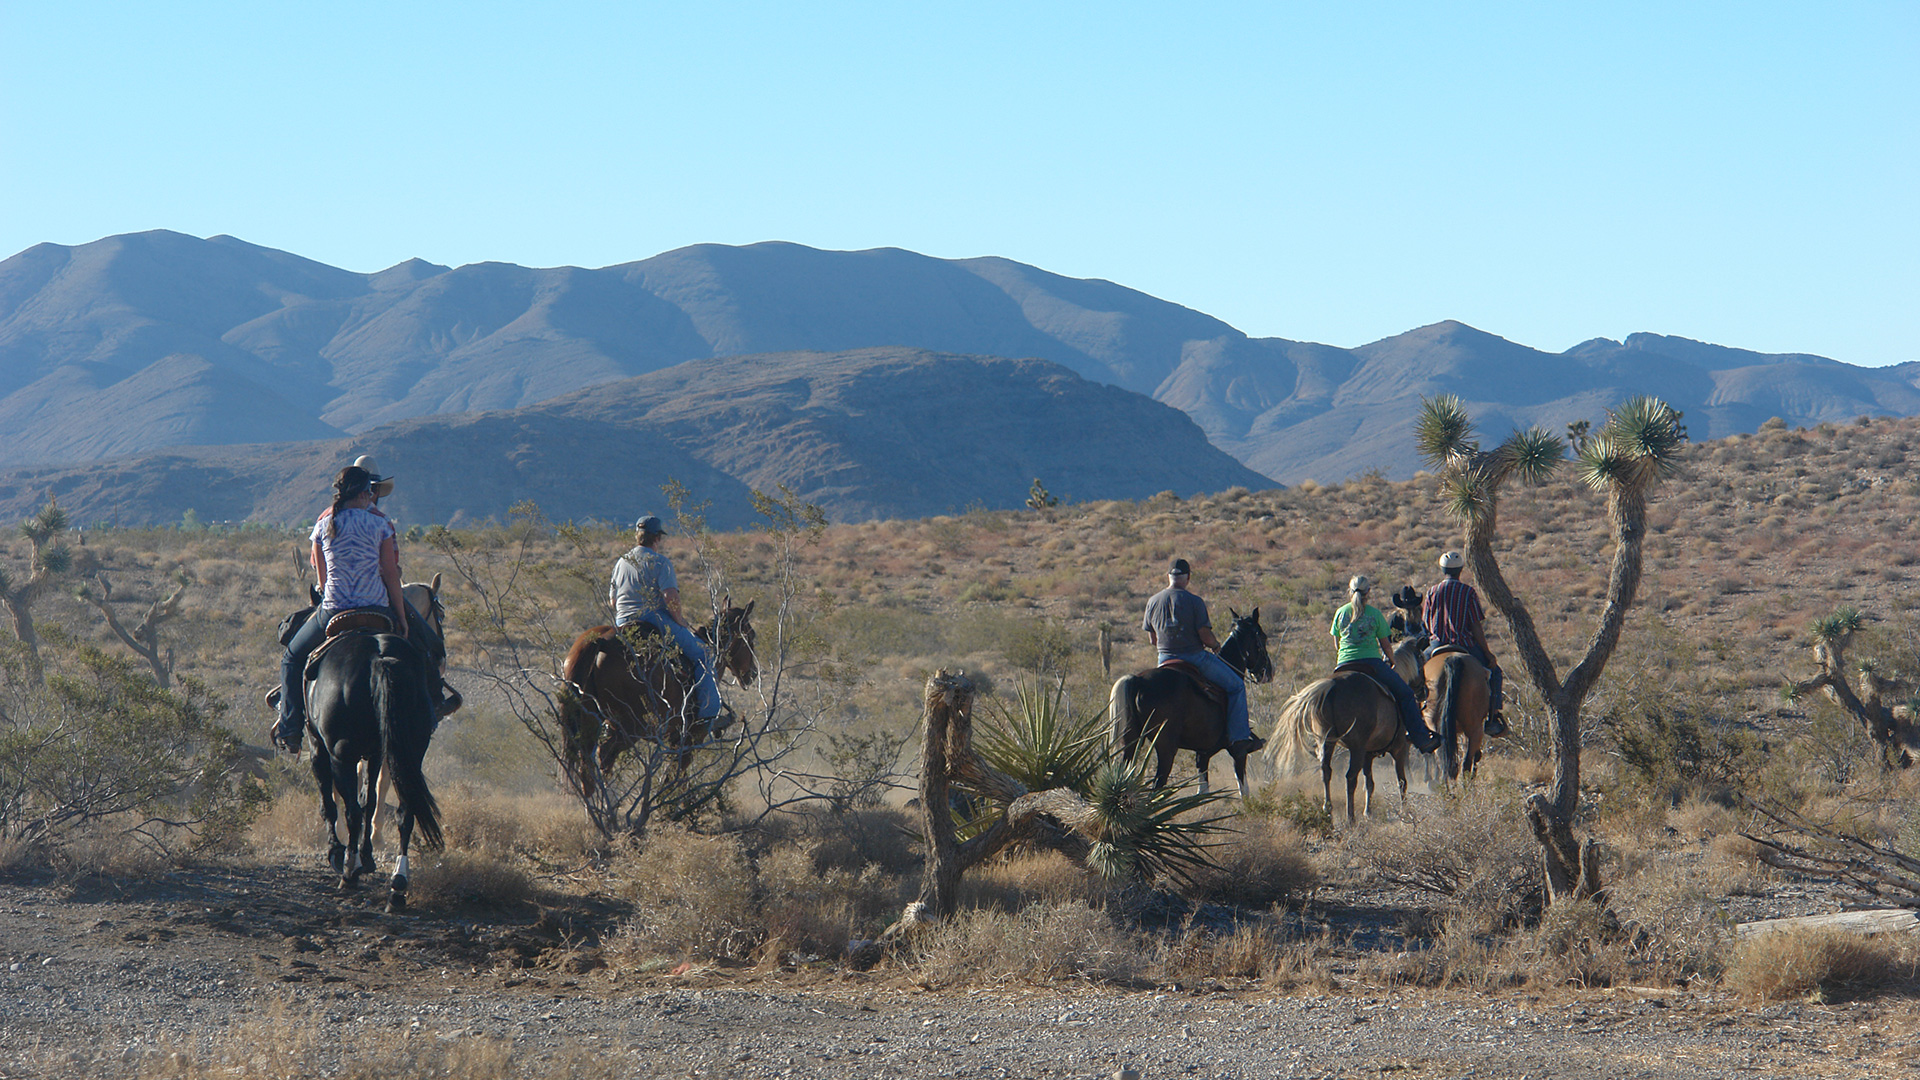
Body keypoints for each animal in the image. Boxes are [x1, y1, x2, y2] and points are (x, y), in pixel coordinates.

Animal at [556, 595, 756, 799]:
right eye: (751, 635)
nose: (753, 672)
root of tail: (601, 641)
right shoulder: (690, 739)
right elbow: (673, 778)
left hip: (590, 720)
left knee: (587, 766)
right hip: (631, 727)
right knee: (604, 754)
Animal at [1267, 634, 1436, 818]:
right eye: (1421, 658)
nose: (1424, 692)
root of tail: (1332, 686)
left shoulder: (1368, 753)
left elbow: (1369, 782)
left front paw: (1368, 812)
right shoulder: (1399, 748)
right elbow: (1402, 781)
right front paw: (1404, 811)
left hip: (1327, 742)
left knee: (1326, 771)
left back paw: (1328, 810)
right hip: (1356, 747)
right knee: (1350, 777)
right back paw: (1350, 817)